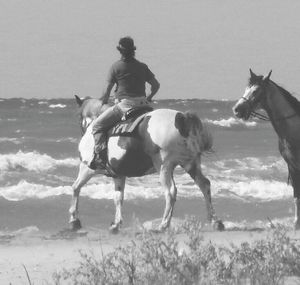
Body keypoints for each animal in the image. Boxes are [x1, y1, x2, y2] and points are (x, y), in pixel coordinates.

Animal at [233, 69, 300, 229]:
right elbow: (296, 195)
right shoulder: (292, 166)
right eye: (246, 88)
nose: (237, 110)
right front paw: (296, 224)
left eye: (256, 91)